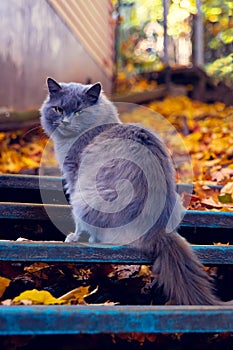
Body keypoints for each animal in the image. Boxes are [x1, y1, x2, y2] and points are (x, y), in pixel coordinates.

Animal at [40, 78, 224, 304]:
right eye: (58, 109)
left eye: (79, 111)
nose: (65, 121)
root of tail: (158, 230)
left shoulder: (73, 177)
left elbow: (77, 223)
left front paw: (74, 237)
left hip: (86, 197)